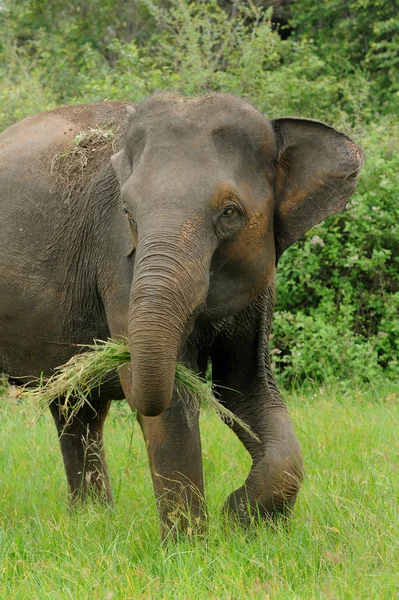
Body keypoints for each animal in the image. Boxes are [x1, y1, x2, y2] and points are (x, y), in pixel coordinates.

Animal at [0, 92, 362, 536]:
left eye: (229, 212)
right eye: (127, 212)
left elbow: (245, 387)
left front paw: (241, 520)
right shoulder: (117, 262)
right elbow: (171, 402)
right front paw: (191, 544)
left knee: (76, 407)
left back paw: (91, 519)